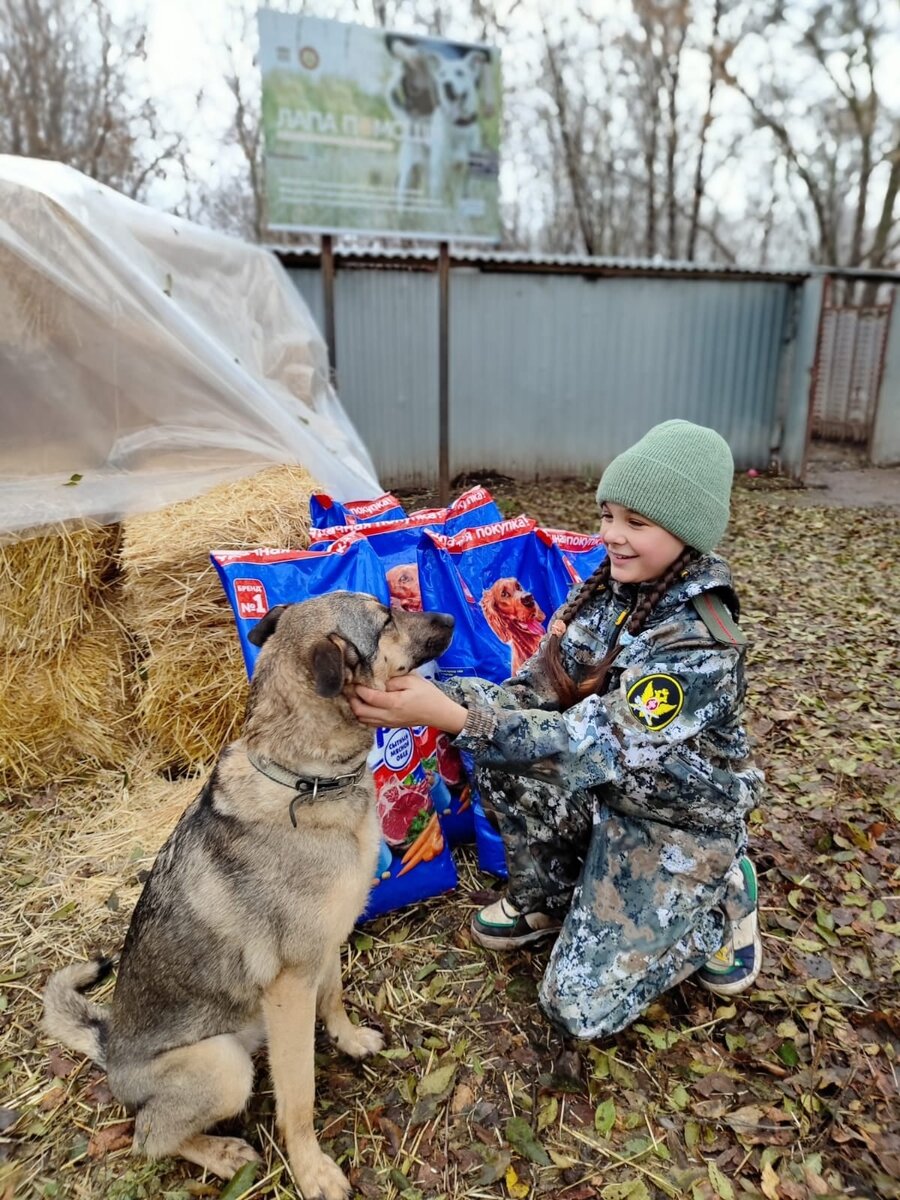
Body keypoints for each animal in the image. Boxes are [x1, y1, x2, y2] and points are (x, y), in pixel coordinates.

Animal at [42, 590, 453, 1200]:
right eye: (384, 621)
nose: (449, 615)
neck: (308, 781)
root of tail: (111, 1051)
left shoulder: (324, 946)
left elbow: (334, 996)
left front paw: (349, 1040)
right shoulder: (289, 985)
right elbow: (299, 1094)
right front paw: (310, 1169)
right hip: (224, 1065)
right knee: (148, 1136)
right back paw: (223, 1153)